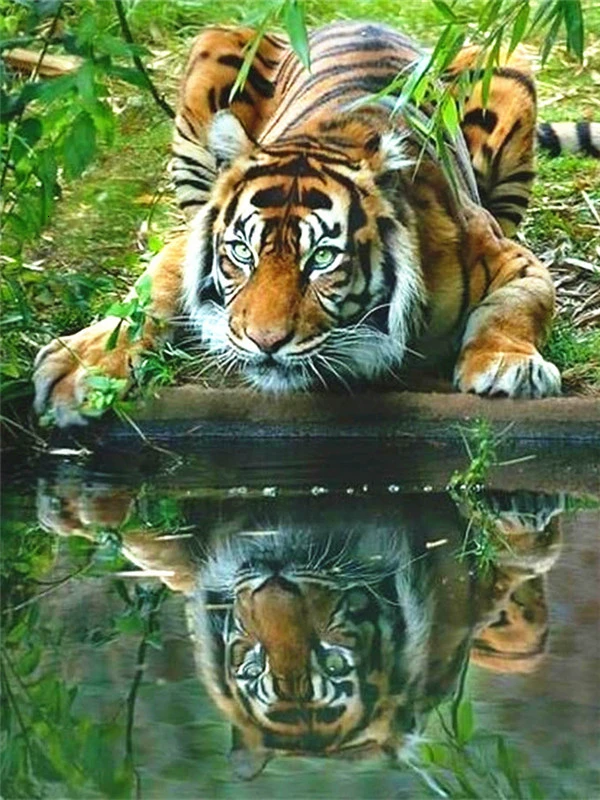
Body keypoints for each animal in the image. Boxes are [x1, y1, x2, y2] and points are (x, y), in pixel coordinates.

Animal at [34, 20, 576, 427]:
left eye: (322, 259)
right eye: (242, 252)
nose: (264, 343)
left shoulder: (511, 258)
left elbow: (517, 305)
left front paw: (508, 365)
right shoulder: (190, 239)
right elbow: (149, 292)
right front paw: (81, 368)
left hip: (506, 63)